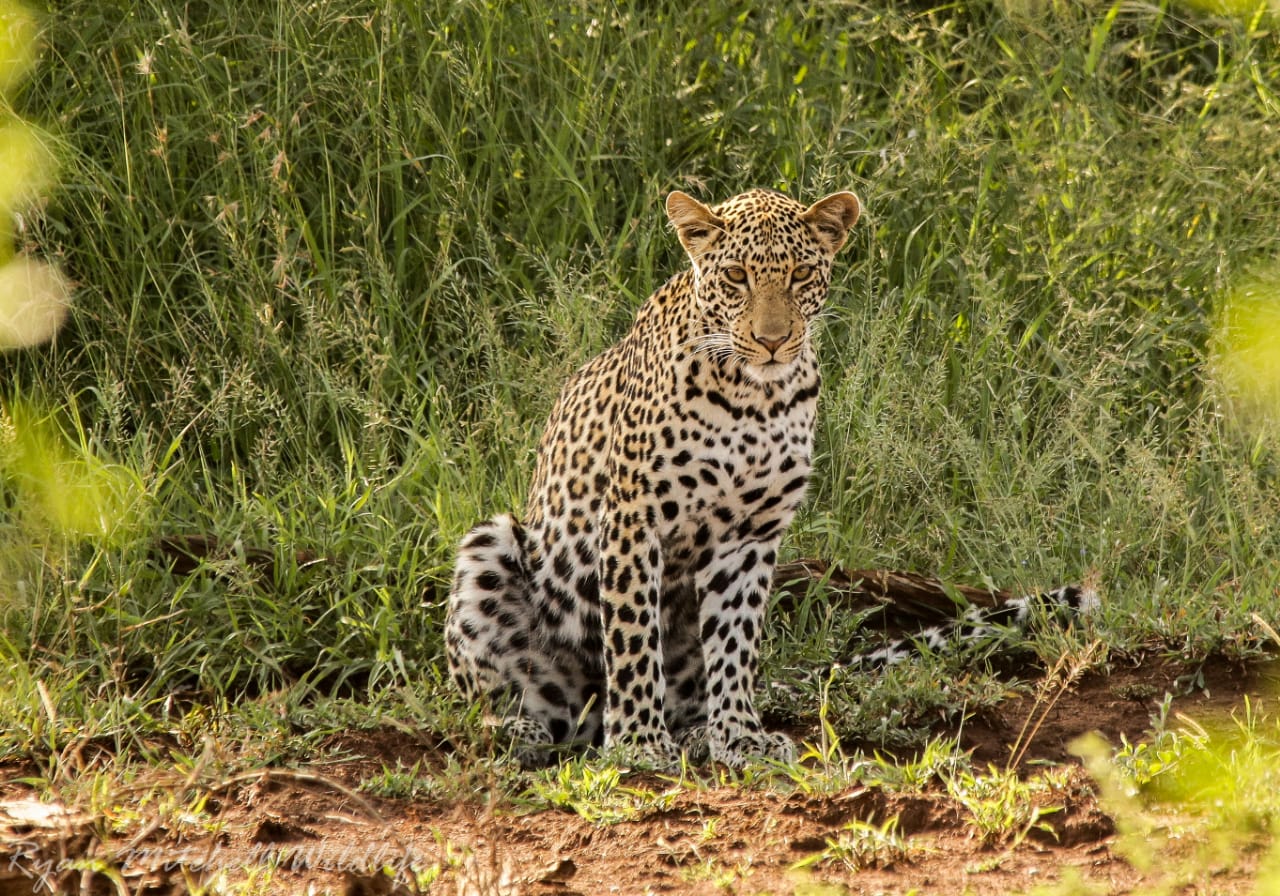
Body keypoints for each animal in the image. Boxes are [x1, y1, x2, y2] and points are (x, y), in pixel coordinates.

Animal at [445, 186, 861, 769]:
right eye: (736, 276)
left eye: (801, 274)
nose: (773, 341)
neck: (755, 398)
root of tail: (584, 718)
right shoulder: (632, 517)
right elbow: (632, 632)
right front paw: (639, 740)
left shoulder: (750, 535)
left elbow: (735, 643)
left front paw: (740, 736)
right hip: (490, 548)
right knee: (494, 703)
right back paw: (522, 730)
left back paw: (696, 734)